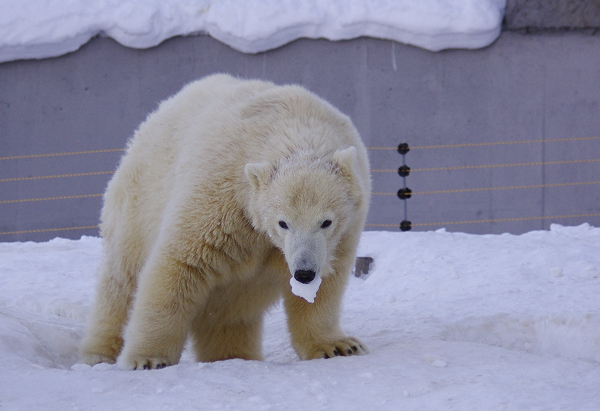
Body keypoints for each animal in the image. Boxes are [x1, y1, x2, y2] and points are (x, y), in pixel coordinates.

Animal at [79, 74, 370, 370]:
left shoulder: (344, 231)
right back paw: (98, 353)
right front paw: (147, 359)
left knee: (230, 311)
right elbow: (178, 266)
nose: (304, 272)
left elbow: (326, 285)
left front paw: (338, 346)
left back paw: (234, 355)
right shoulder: (221, 196)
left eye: (326, 222)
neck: (294, 123)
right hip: (137, 202)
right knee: (121, 280)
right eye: (282, 223)